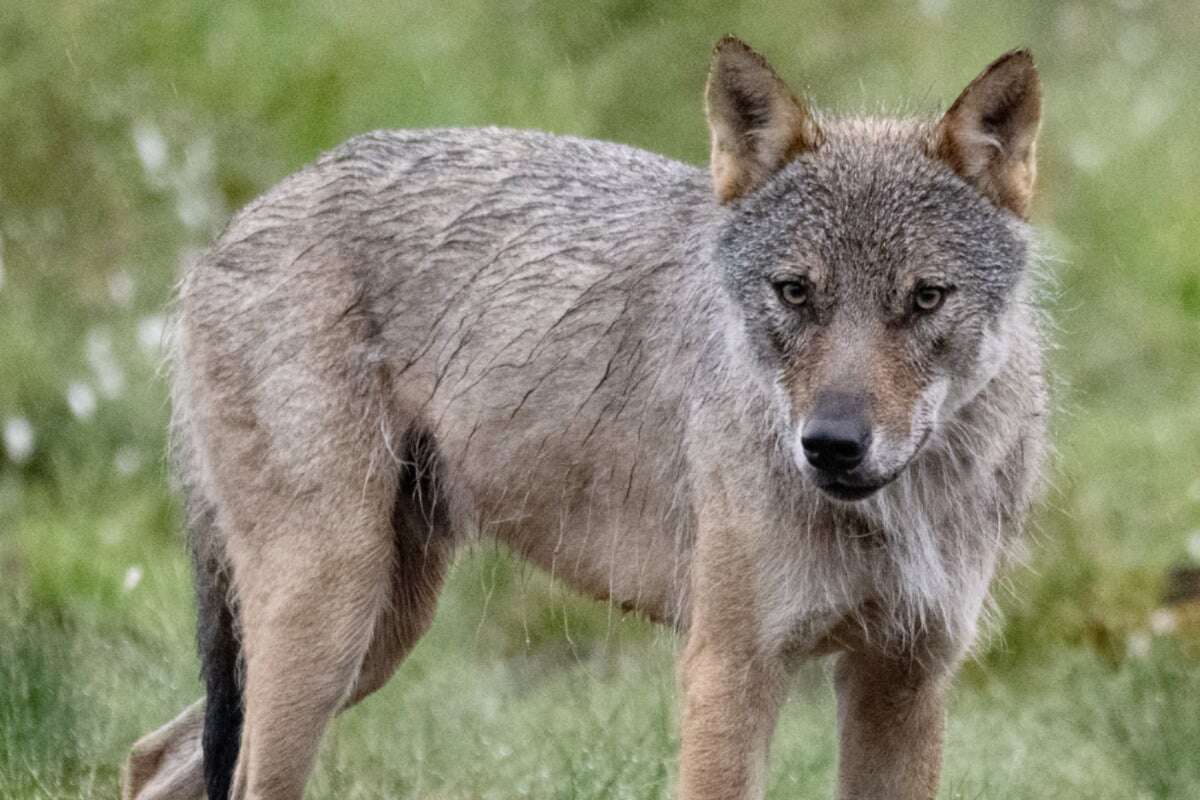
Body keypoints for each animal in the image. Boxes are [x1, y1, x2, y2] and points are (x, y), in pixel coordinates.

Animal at [117, 37, 1046, 800]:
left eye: (924, 299)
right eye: (794, 292)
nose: (831, 446)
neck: (895, 514)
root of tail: (225, 232)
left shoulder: (904, 678)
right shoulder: (728, 669)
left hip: (375, 635)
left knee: (152, 759)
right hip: (329, 620)